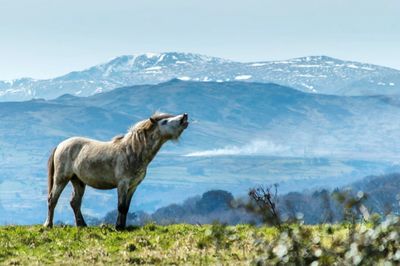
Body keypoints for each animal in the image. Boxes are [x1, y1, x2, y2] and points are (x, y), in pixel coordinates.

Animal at [43, 112, 190, 229]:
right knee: (53, 199)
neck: (132, 151)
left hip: (78, 180)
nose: (184, 116)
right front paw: (118, 227)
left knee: (74, 202)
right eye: (164, 121)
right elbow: (121, 206)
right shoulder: (122, 184)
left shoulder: (133, 186)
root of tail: (60, 145)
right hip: (61, 179)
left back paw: (82, 225)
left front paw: (122, 226)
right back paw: (49, 225)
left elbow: (126, 207)